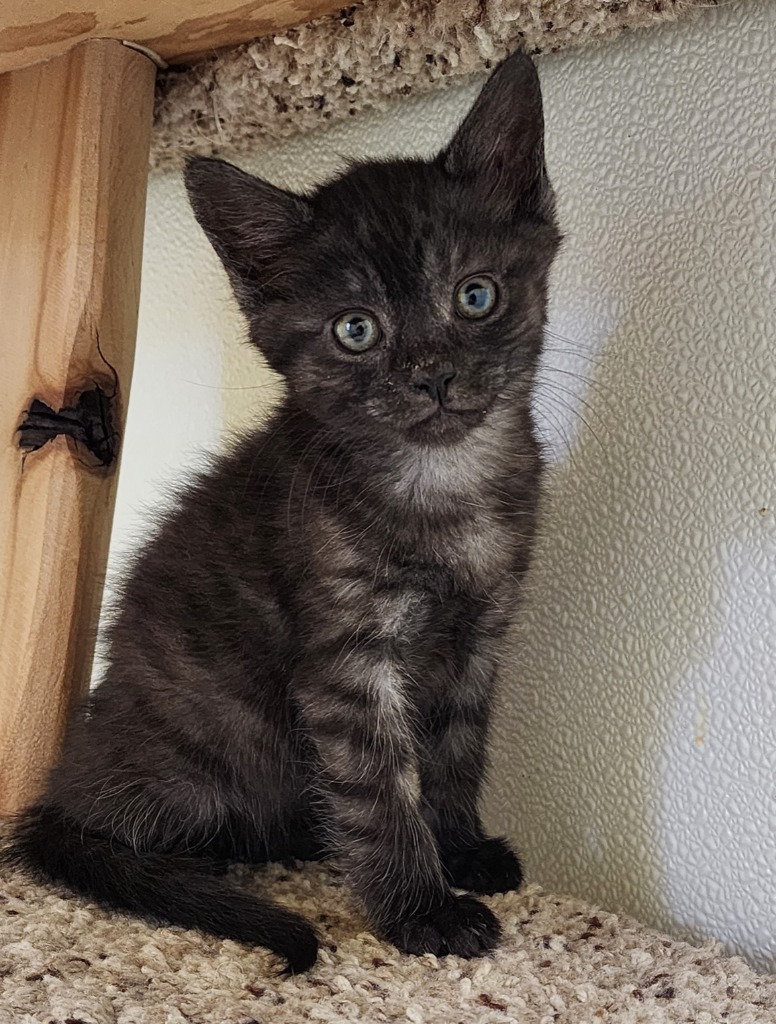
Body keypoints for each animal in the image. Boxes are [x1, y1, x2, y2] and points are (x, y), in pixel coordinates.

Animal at [6, 51, 561, 970]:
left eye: (476, 297)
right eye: (355, 330)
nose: (433, 376)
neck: (440, 482)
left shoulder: (480, 633)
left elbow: (455, 750)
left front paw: (460, 848)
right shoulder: (345, 663)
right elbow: (378, 789)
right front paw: (422, 909)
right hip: (197, 754)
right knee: (109, 826)